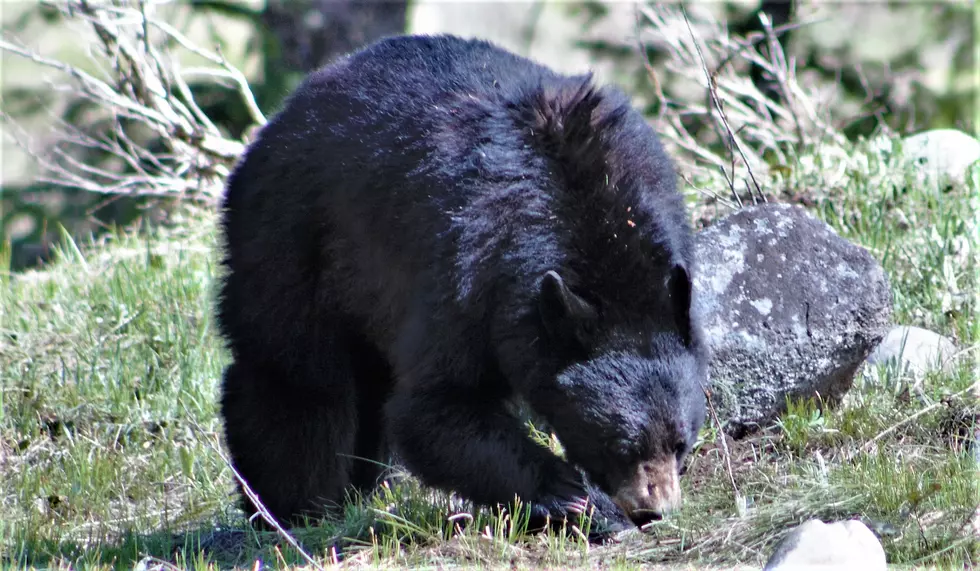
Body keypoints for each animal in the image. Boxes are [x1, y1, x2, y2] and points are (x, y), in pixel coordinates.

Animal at [215, 33, 708, 538]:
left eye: (681, 441)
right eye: (621, 445)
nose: (655, 510)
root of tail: (286, 110)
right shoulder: (468, 270)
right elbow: (436, 407)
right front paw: (581, 501)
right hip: (293, 233)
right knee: (296, 374)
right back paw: (292, 506)